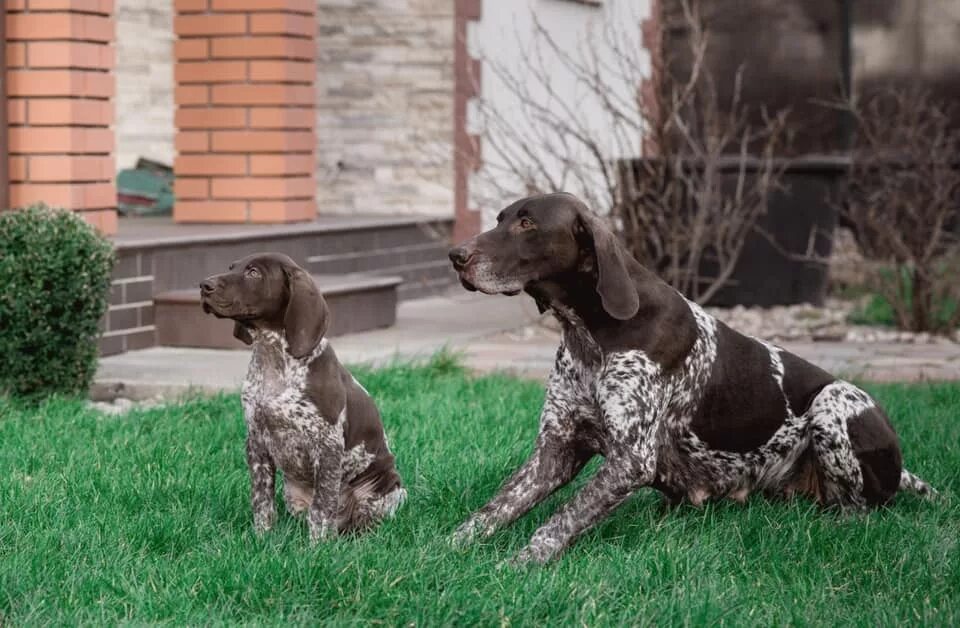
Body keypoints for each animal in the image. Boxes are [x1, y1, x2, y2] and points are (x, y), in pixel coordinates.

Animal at [199, 254, 402, 540]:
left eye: (253, 273)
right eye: (231, 268)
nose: (204, 286)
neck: (273, 358)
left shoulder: (327, 445)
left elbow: (321, 508)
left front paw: (317, 546)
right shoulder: (256, 441)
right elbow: (262, 501)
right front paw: (262, 539)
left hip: (379, 493)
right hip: (292, 493)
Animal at [446, 191, 932, 564]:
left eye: (527, 222)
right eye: (499, 219)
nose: (455, 256)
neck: (591, 334)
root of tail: (901, 466)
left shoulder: (631, 460)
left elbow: (559, 520)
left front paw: (520, 564)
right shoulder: (556, 449)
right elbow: (494, 508)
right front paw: (445, 550)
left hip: (834, 402)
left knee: (857, 513)